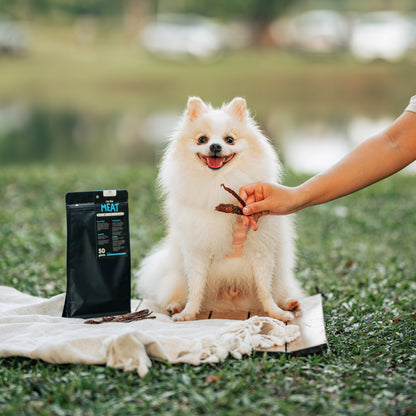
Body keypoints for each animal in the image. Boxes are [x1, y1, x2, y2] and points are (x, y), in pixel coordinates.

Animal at [136, 97, 302, 322]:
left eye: (229, 139)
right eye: (202, 139)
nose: (215, 146)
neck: (218, 182)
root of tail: (229, 303)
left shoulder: (261, 250)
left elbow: (264, 290)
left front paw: (276, 312)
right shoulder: (197, 250)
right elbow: (196, 288)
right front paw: (188, 313)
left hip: (281, 278)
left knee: (279, 290)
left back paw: (289, 303)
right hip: (176, 278)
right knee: (174, 293)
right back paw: (175, 307)